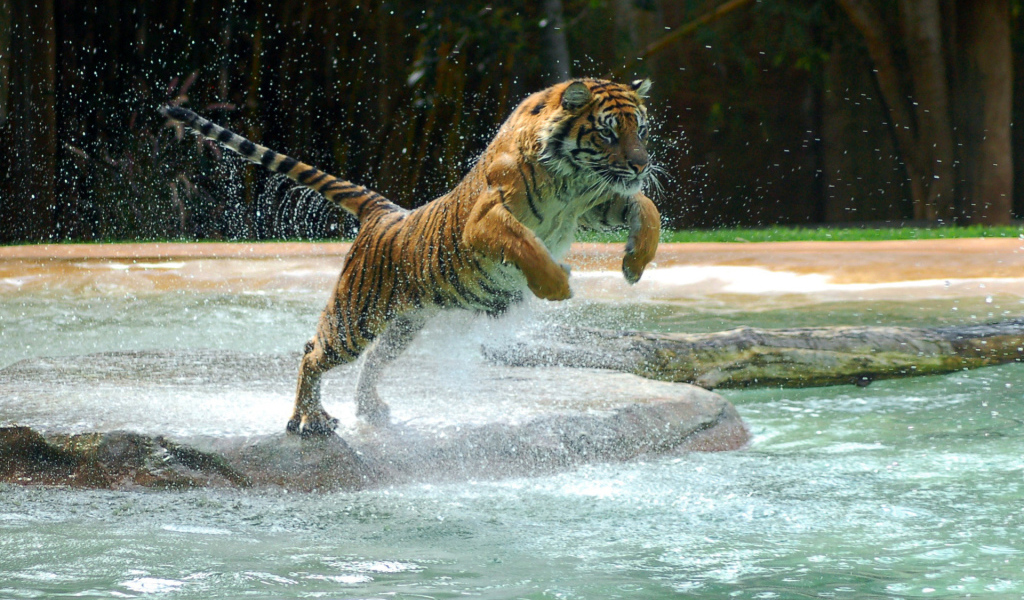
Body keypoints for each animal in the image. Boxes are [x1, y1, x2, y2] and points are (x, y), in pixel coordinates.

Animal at [160, 77, 660, 436]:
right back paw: (309, 421)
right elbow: (526, 245)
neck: (571, 180)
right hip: (355, 317)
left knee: (372, 362)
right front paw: (557, 284)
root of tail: (384, 212)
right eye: (608, 132)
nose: (642, 164)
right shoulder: (486, 220)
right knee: (312, 352)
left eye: (639, 128)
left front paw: (634, 263)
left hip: (404, 324)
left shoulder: (597, 202)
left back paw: (371, 411)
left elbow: (646, 207)